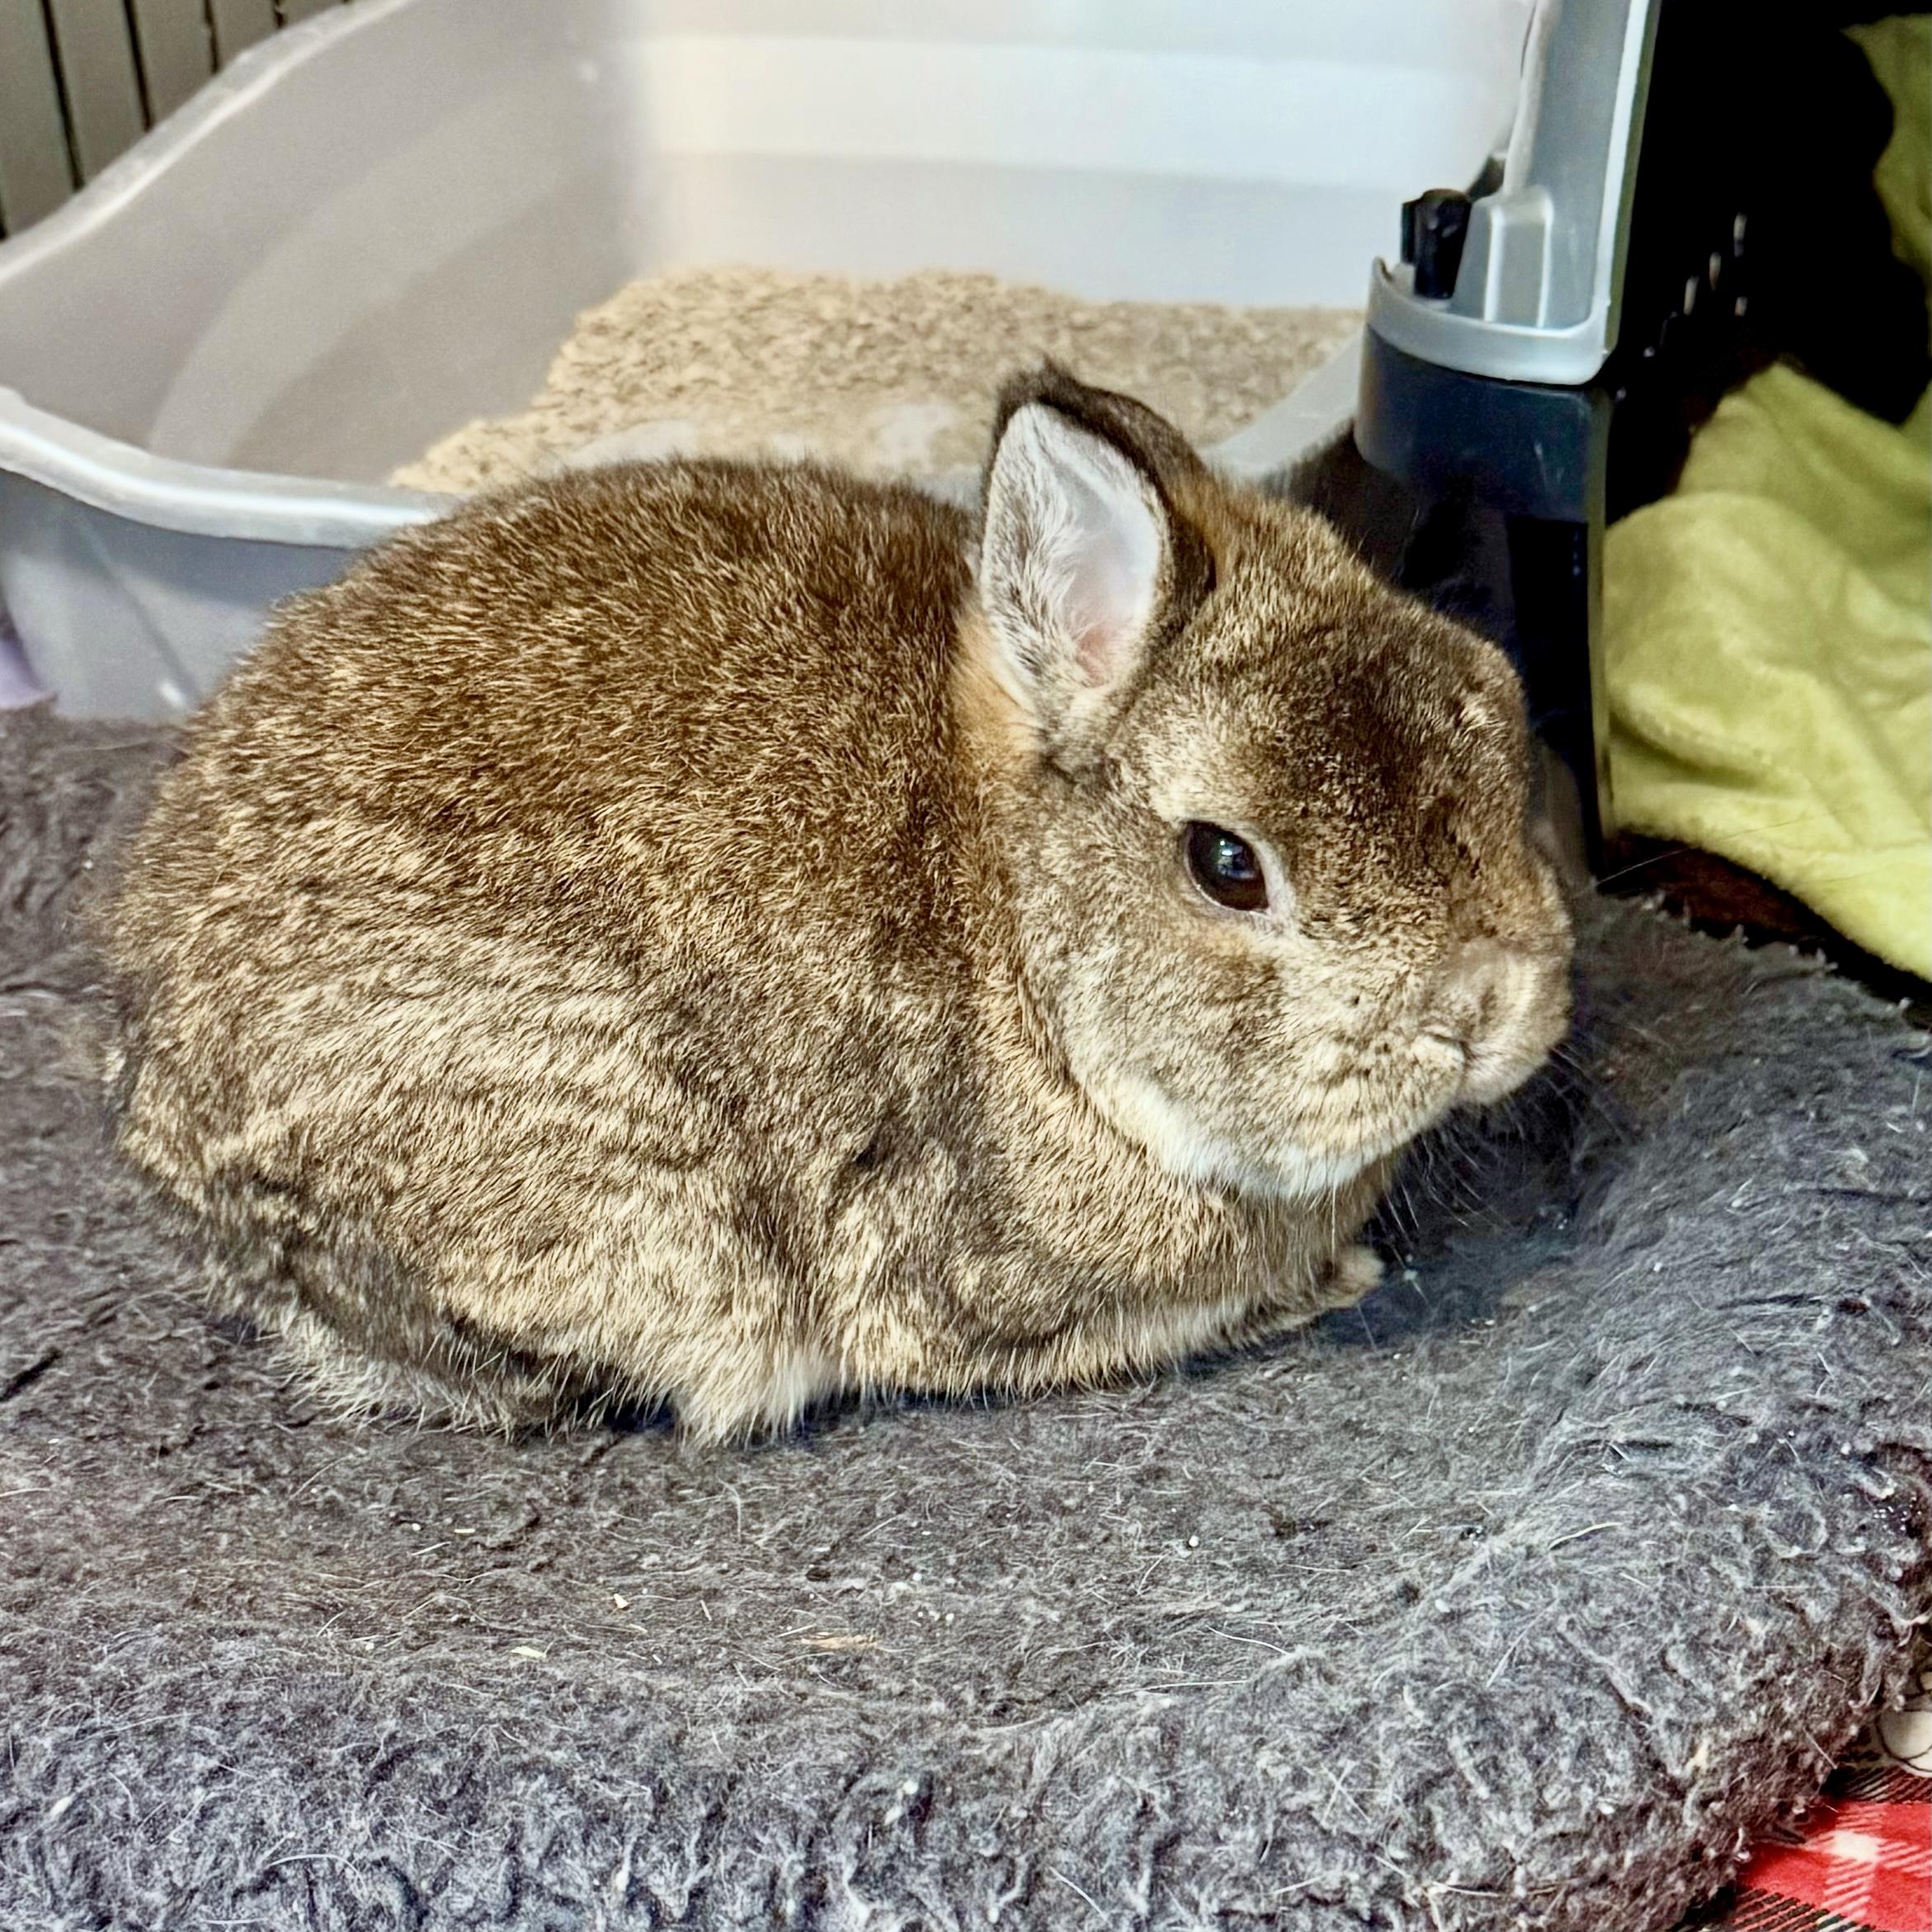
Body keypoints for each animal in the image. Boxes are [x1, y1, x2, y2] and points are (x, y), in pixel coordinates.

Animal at [100, 364, 1573, 1442]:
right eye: (1226, 864)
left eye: (1500, 711)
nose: (1486, 1010)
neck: (1019, 941)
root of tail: (162, 1124)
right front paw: (1340, 1278)